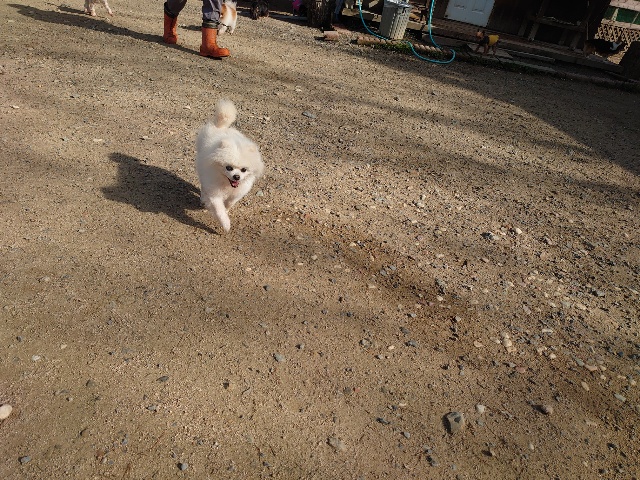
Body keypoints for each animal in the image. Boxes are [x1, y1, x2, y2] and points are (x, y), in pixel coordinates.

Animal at [195, 99, 264, 232]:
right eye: (228, 168)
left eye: (244, 170)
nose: (236, 176)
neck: (227, 184)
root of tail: (221, 127)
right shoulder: (215, 193)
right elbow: (219, 210)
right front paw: (226, 224)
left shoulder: (238, 192)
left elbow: (230, 203)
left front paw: (227, 209)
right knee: (203, 186)